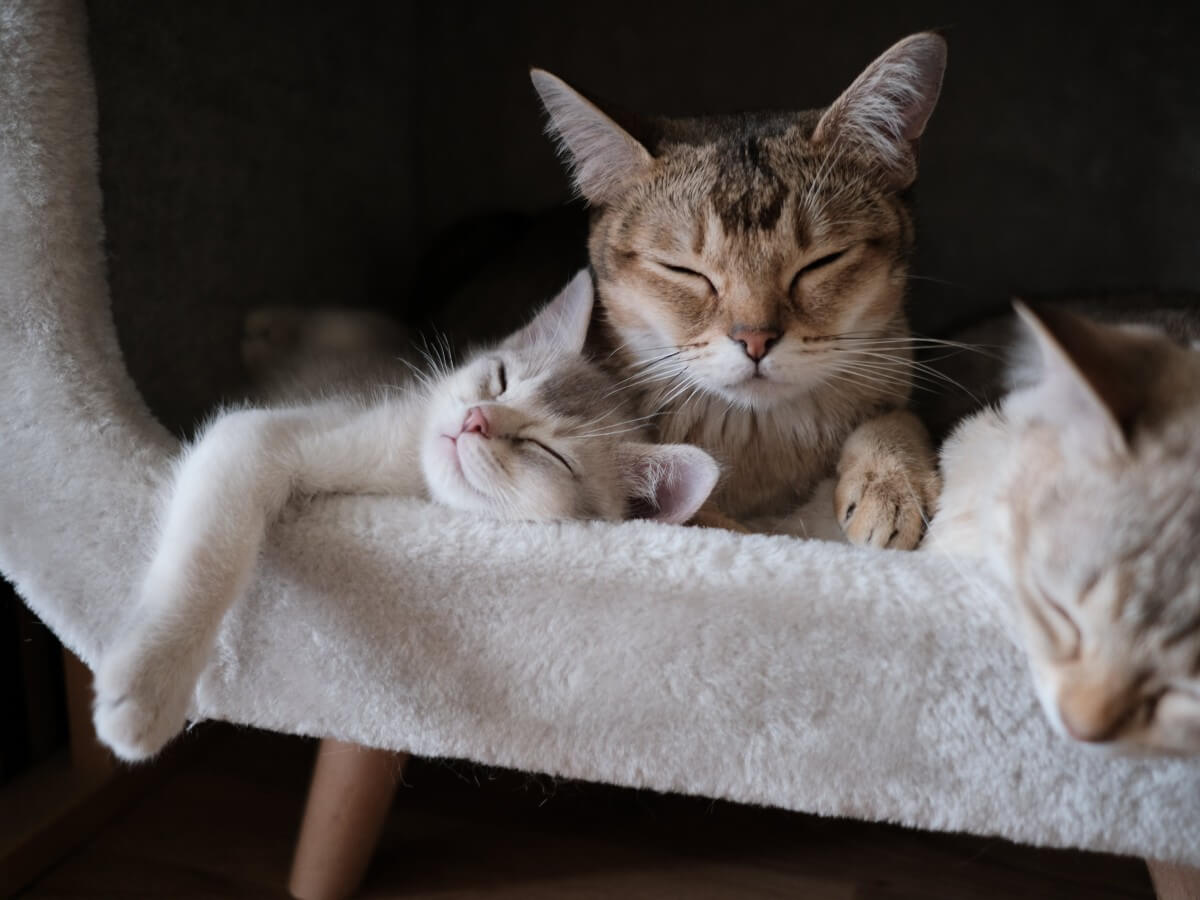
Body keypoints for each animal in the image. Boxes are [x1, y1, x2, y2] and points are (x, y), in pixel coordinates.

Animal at [93, 271, 715, 763]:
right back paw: (267, 326)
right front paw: (147, 687)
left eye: (547, 451)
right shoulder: (261, 437)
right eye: (500, 380)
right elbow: (209, 555)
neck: (407, 480)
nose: (475, 419)